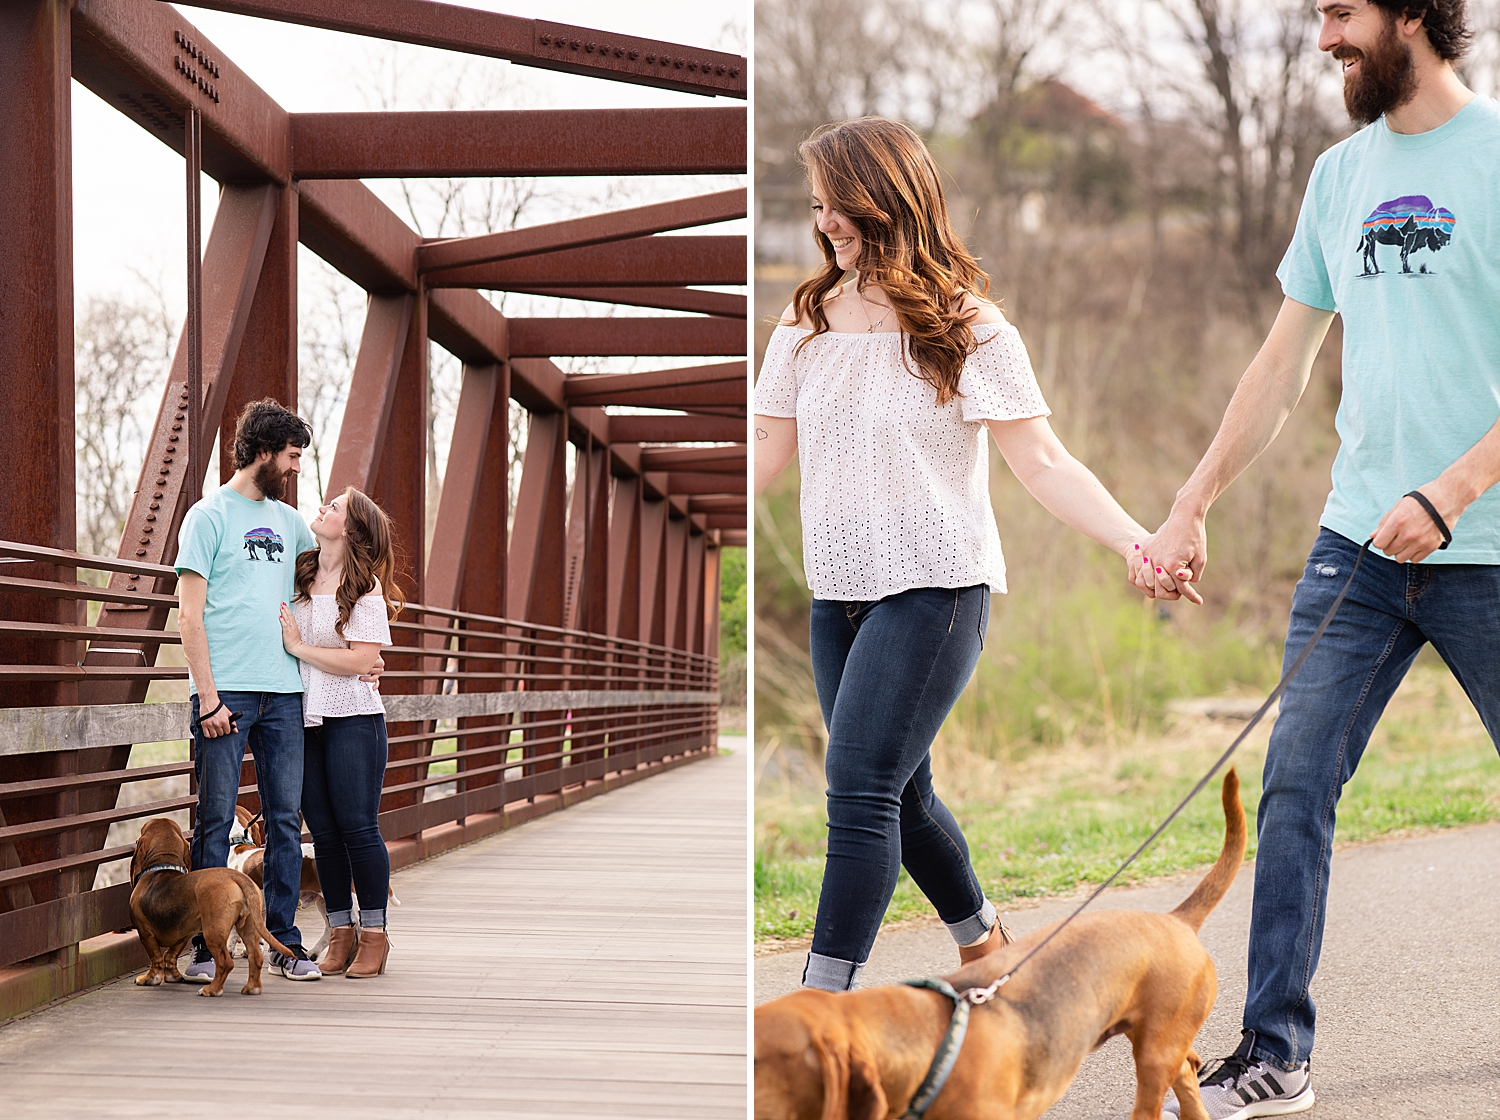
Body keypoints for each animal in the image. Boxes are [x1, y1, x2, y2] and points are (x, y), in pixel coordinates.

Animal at [130, 815, 294, 1001]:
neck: (163, 864)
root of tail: (237, 877)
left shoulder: (145, 933)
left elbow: (156, 958)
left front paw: (149, 979)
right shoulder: (183, 935)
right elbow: (170, 956)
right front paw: (173, 976)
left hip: (213, 932)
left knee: (225, 963)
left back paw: (212, 990)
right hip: (248, 926)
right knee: (255, 957)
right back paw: (252, 988)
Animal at [756, 773, 1248, 1120]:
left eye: (760, 1059)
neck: (933, 1050)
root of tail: (1175, 920)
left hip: (1153, 1055)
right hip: (1158, 1041)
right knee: (1187, 1070)